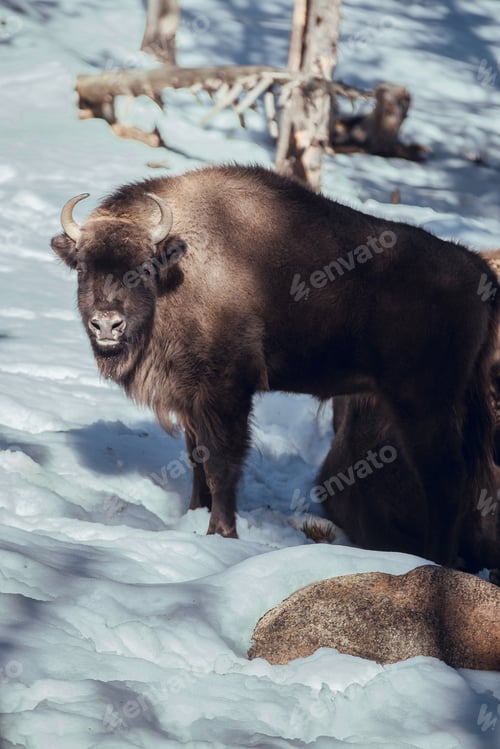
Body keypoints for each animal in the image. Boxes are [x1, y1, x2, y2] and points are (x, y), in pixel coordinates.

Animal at [51, 165, 499, 566]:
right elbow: (196, 460)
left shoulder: (227, 392)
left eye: (143, 266)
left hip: (422, 406)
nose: (107, 324)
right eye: (84, 266)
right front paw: (196, 516)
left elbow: (221, 463)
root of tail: (478, 269)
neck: (179, 272)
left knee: (445, 481)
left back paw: (433, 561)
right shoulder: (191, 397)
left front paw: (221, 532)